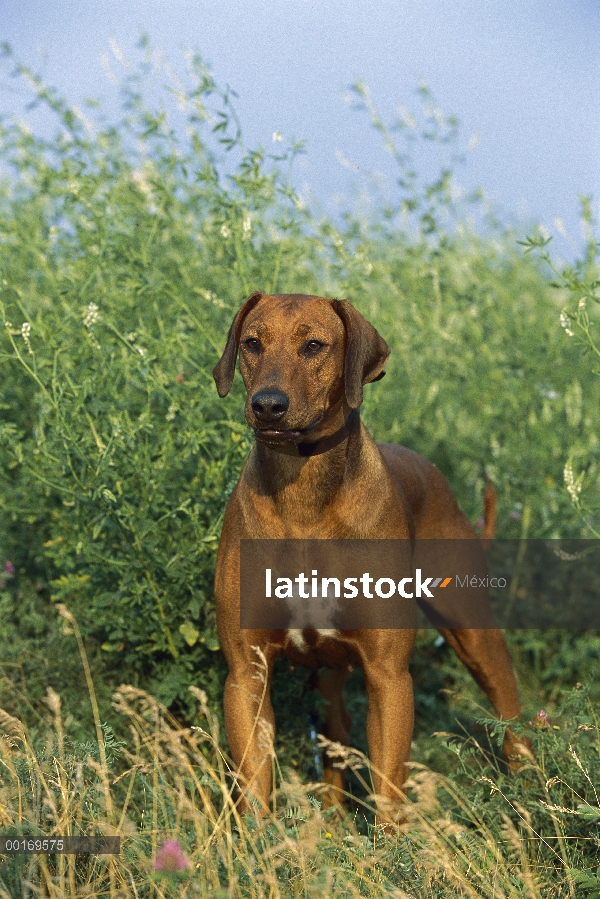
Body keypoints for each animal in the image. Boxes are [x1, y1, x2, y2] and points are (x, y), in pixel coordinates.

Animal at [212, 290, 528, 824]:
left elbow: (389, 792)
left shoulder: (389, 676)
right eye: (252, 343)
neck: (304, 498)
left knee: (510, 706)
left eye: (314, 346)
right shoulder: (246, 674)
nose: (268, 405)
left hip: (473, 631)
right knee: (335, 728)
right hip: (329, 673)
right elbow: (255, 784)